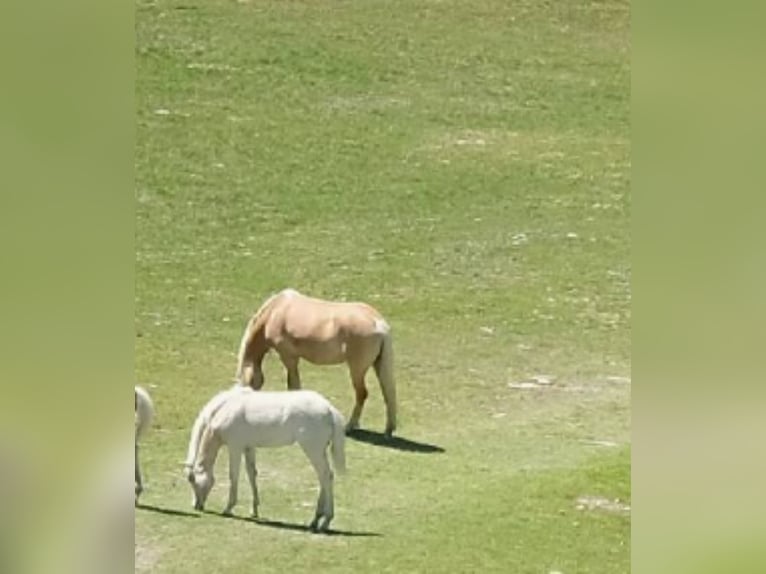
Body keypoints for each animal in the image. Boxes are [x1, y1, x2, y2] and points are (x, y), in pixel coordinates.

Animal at [184, 385, 346, 532]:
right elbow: (251, 473)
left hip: (313, 449)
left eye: (194, 482)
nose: (197, 505)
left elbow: (233, 475)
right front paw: (254, 510)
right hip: (319, 451)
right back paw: (315, 520)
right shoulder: (248, 447)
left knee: (326, 476)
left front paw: (228, 508)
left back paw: (325, 521)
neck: (225, 408)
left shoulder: (235, 447)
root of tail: (329, 409)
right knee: (324, 477)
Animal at [235, 288, 397, 436]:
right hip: (378, 365)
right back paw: (388, 430)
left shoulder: (288, 357)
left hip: (357, 369)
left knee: (362, 393)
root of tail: (379, 324)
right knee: (388, 392)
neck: (275, 311)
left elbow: (293, 386)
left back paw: (350, 426)